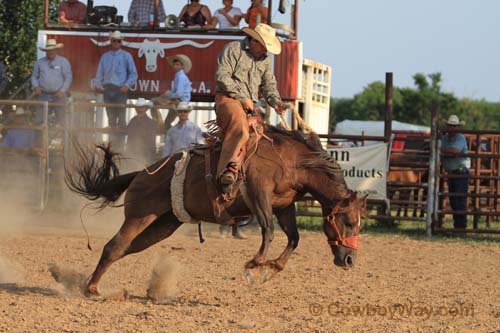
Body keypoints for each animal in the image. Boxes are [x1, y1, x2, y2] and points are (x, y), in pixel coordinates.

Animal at [65, 126, 368, 294]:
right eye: (349, 222)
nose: (350, 260)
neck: (290, 160)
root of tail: (141, 173)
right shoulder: (259, 194)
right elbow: (268, 231)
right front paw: (254, 266)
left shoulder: (284, 205)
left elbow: (293, 238)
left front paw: (271, 269)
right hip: (139, 215)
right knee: (113, 246)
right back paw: (91, 289)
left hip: (162, 225)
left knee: (125, 249)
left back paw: (90, 283)